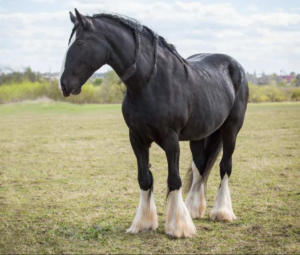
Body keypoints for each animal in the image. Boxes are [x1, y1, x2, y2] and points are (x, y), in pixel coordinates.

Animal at [59, 8, 248, 238]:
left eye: (80, 43)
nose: (64, 85)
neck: (150, 83)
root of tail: (234, 65)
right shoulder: (137, 138)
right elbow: (145, 178)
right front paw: (143, 223)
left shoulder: (171, 139)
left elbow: (173, 179)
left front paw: (178, 227)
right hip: (198, 135)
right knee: (200, 166)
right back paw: (194, 209)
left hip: (231, 131)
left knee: (225, 167)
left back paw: (221, 212)